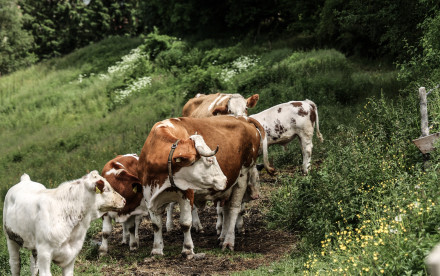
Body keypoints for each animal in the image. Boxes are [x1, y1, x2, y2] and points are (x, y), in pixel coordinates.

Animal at [139, 115, 274, 256]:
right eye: (210, 160)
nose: (224, 179)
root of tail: (243, 118)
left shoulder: (187, 193)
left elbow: (185, 223)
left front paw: (188, 249)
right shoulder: (149, 195)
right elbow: (156, 225)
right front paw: (156, 250)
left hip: (243, 175)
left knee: (234, 209)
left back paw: (228, 241)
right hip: (229, 187)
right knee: (226, 209)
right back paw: (222, 237)